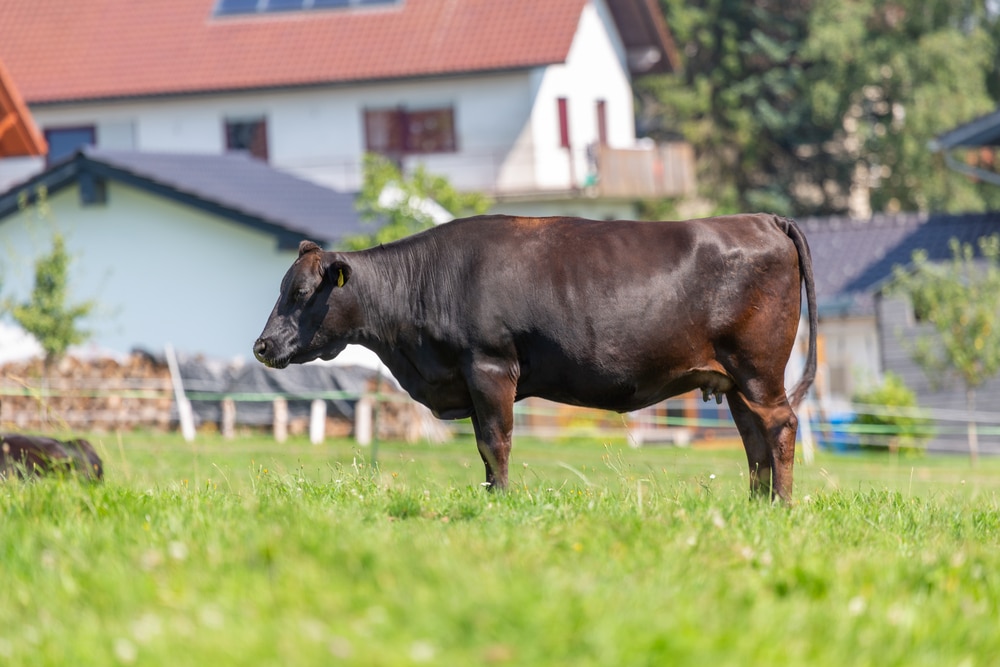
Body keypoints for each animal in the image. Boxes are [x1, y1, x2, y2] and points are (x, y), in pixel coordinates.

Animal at [252, 214, 812, 500]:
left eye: (300, 292)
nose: (262, 346)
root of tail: (762, 219)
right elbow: (484, 445)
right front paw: (488, 494)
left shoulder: (490, 365)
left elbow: (496, 441)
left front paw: (499, 499)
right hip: (736, 380)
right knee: (752, 437)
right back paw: (756, 504)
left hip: (759, 369)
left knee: (779, 426)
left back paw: (781, 504)